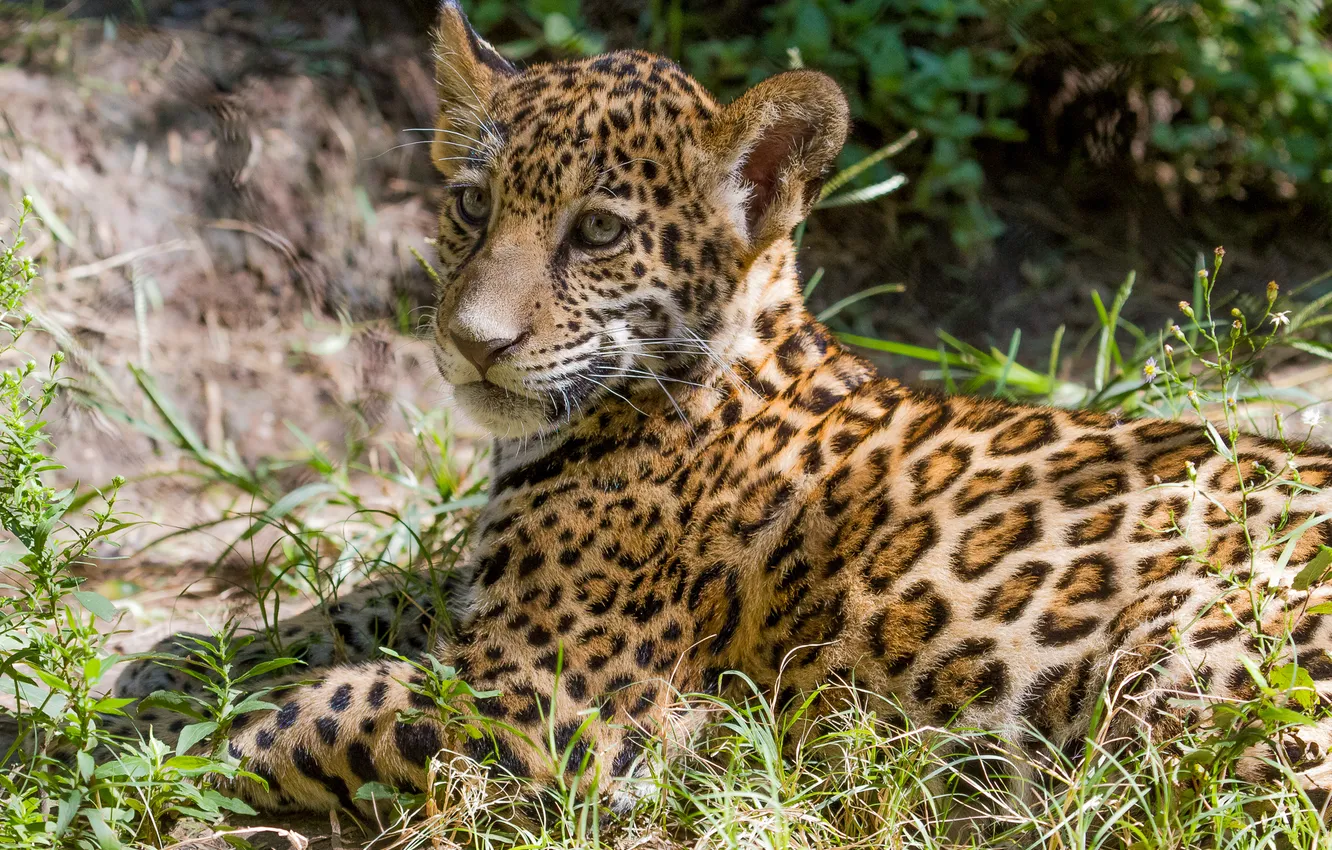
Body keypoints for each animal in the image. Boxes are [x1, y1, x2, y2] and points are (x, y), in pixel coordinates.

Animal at [108, 0, 1332, 823]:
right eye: (471, 206)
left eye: (598, 232)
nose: (472, 341)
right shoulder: (480, 603)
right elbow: (354, 608)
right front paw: (170, 667)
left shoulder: (555, 701)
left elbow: (313, 713)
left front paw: (141, 759)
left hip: (1180, 670)